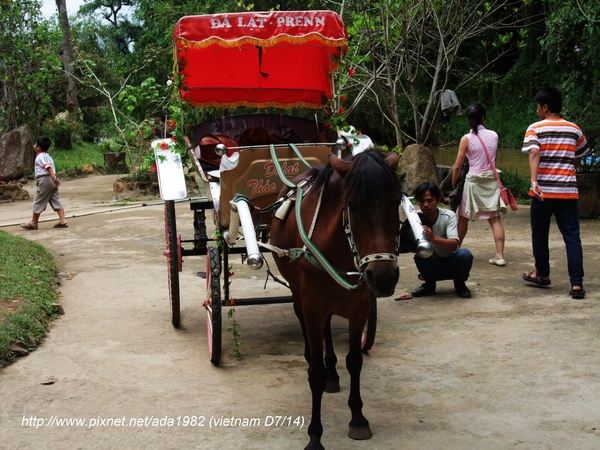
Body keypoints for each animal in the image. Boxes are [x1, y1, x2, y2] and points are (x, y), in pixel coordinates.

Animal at [270, 149, 404, 448]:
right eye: (352, 207)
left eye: (397, 203)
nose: (384, 277)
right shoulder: (313, 306)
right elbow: (316, 374)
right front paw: (315, 435)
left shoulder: (360, 308)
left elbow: (355, 361)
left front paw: (358, 418)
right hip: (299, 294)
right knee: (304, 323)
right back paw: (313, 358)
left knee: (329, 330)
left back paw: (332, 371)